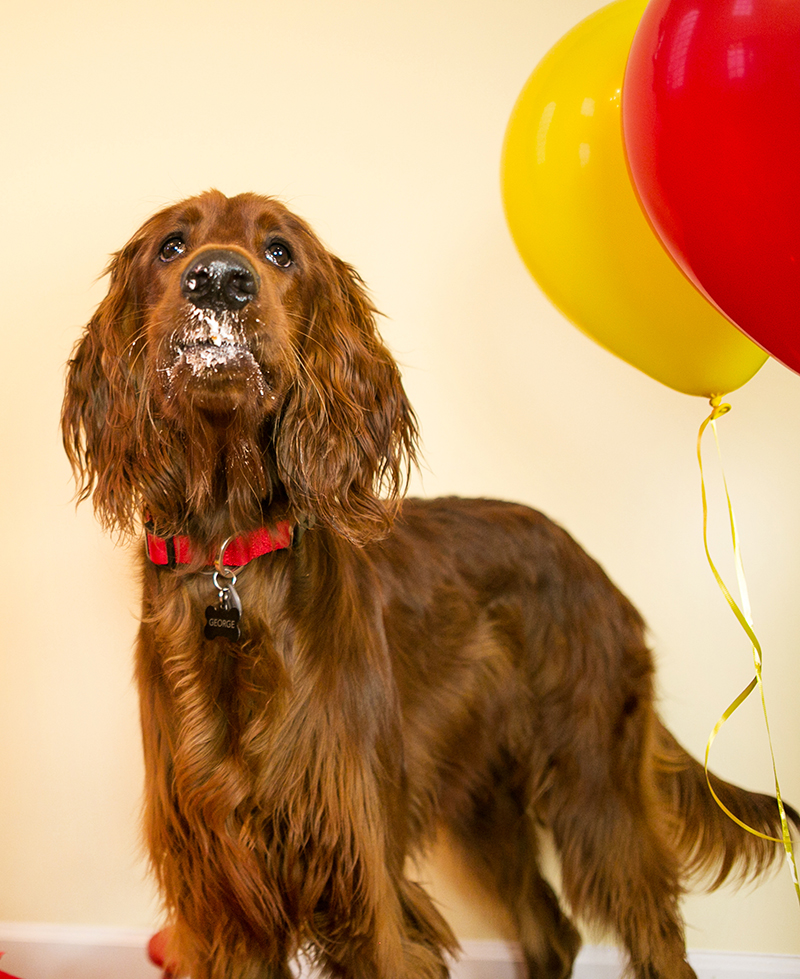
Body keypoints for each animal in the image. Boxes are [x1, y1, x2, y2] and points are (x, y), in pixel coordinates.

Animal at [61, 188, 792, 976]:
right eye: (171, 246)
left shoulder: (365, 877)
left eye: (280, 251)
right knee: (550, 927)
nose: (220, 279)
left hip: (595, 787)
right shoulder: (225, 901)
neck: (232, 557)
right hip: (487, 800)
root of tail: (590, 564)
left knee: (651, 931)